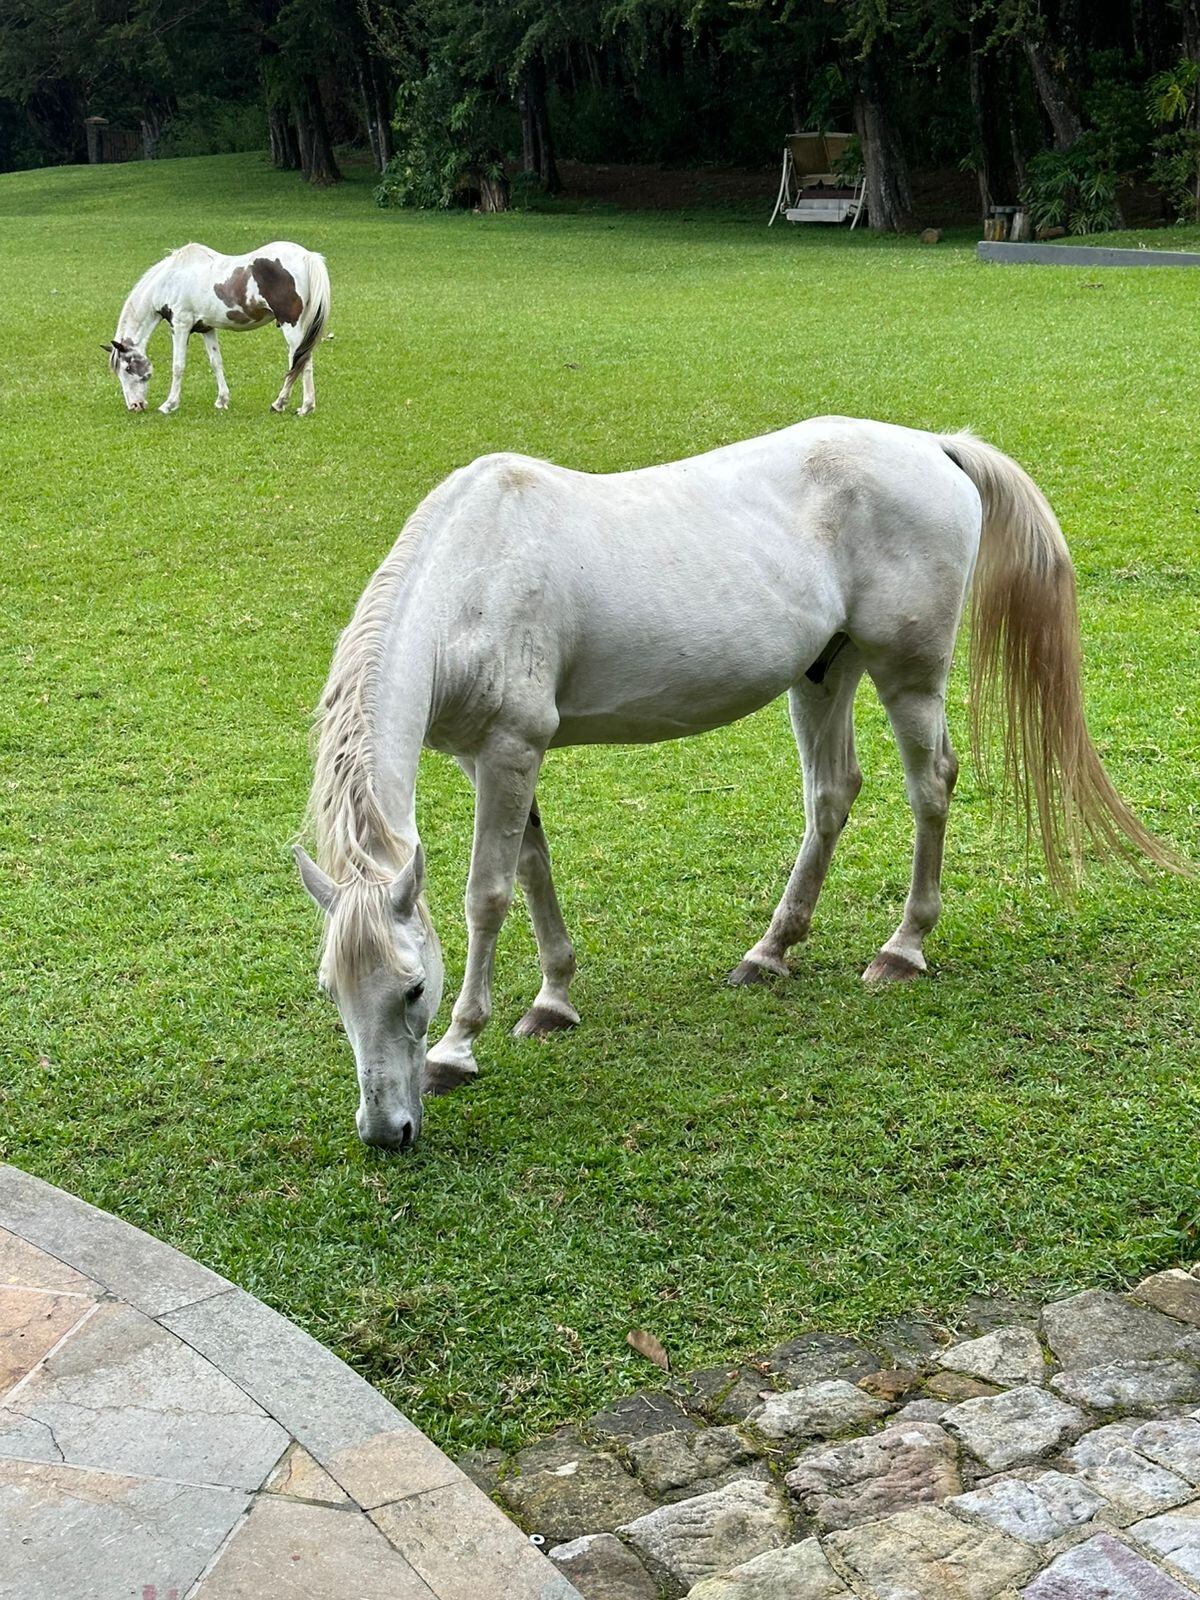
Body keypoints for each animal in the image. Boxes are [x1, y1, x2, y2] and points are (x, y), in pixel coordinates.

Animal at [104, 241, 330, 416]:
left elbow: (178, 366)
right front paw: (222, 401)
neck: (170, 280)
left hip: (291, 326)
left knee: (300, 361)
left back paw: (290, 405)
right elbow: (216, 363)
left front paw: (169, 405)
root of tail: (307, 256)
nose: (135, 406)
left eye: (127, 368)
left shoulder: (180, 326)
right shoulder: (207, 328)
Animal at [293, 416, 1180, 1150]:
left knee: (930, 787)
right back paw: (771, 951)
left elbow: (489, 895)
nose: (386, 1132)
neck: (475, 575)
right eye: (332, 991)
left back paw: (903, 948)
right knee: (831, 796)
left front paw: (458, 1047)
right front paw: (554, 999)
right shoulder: (505, 755)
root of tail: (933, 444)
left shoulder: (510, 751)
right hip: (824, 673)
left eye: (413, 989)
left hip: (909, 674)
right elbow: (535, 870)